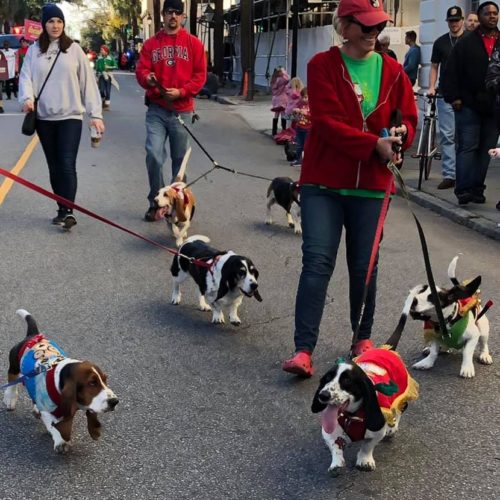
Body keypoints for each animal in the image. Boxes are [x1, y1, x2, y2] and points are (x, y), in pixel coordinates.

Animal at [3, 308, 118, 454]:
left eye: (105, 379)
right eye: (92, 383)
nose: (115, 401)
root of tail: (34, 335)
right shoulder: (47, 410)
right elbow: (54, 425)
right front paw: (61, 441)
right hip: (14, 363)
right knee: (12, 378)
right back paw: (10, 398)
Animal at [310, 292, 420, 476]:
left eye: (347, 381)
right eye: (327, 379)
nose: (323, 395)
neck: (352, 415)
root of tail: (387, 348)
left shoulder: (377, 430)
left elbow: (367, 446)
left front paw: (365, 461)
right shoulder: (329, 431)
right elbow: (335, 445)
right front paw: (336, 463)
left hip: (402, 392)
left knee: (399, 410)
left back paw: (393, 427)